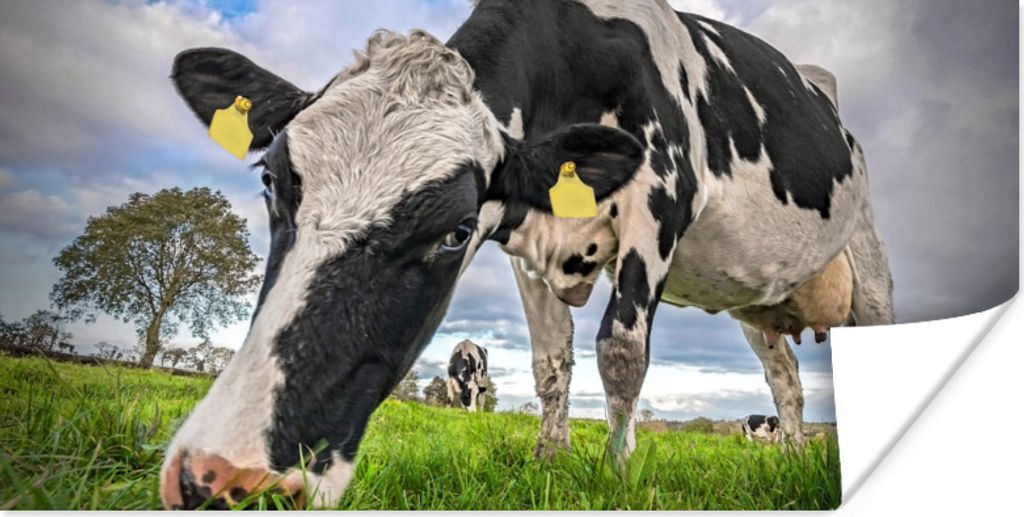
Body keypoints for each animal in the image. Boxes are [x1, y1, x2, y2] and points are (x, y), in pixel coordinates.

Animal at [160, 0, 894, 508]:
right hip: (756, 303)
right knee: (786, 380)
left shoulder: (660, 200)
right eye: (270, 180)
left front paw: (615, 474)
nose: (225, 476)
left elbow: (620, 351)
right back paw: (793, 458)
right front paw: (549, 458)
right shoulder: (525, 244)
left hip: (868, 256)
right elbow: (550, 361)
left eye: (457, 229)